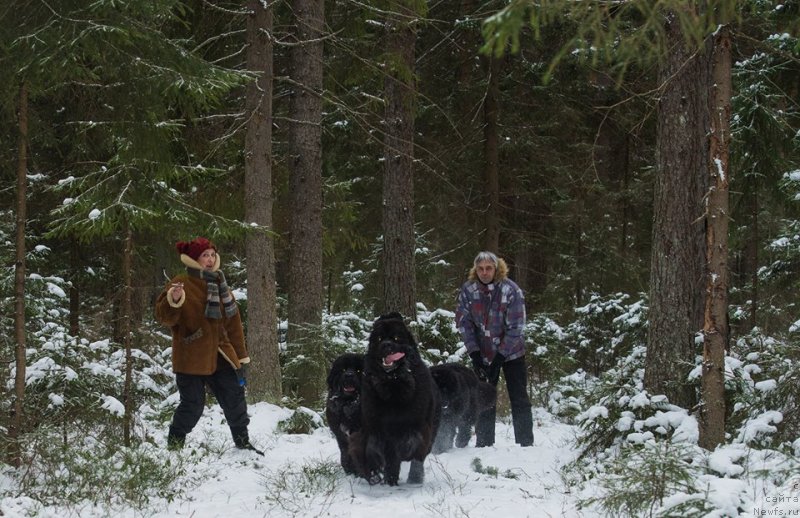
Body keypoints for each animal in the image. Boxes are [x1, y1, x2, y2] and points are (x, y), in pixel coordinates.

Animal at [352, 312, 440, 488]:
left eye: (396, 338)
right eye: (379, 339)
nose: (386, 345)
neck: (393, 384)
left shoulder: (419, 425)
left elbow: (414, 445)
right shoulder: (375, 426)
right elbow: (376, 449)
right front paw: (380, 474)